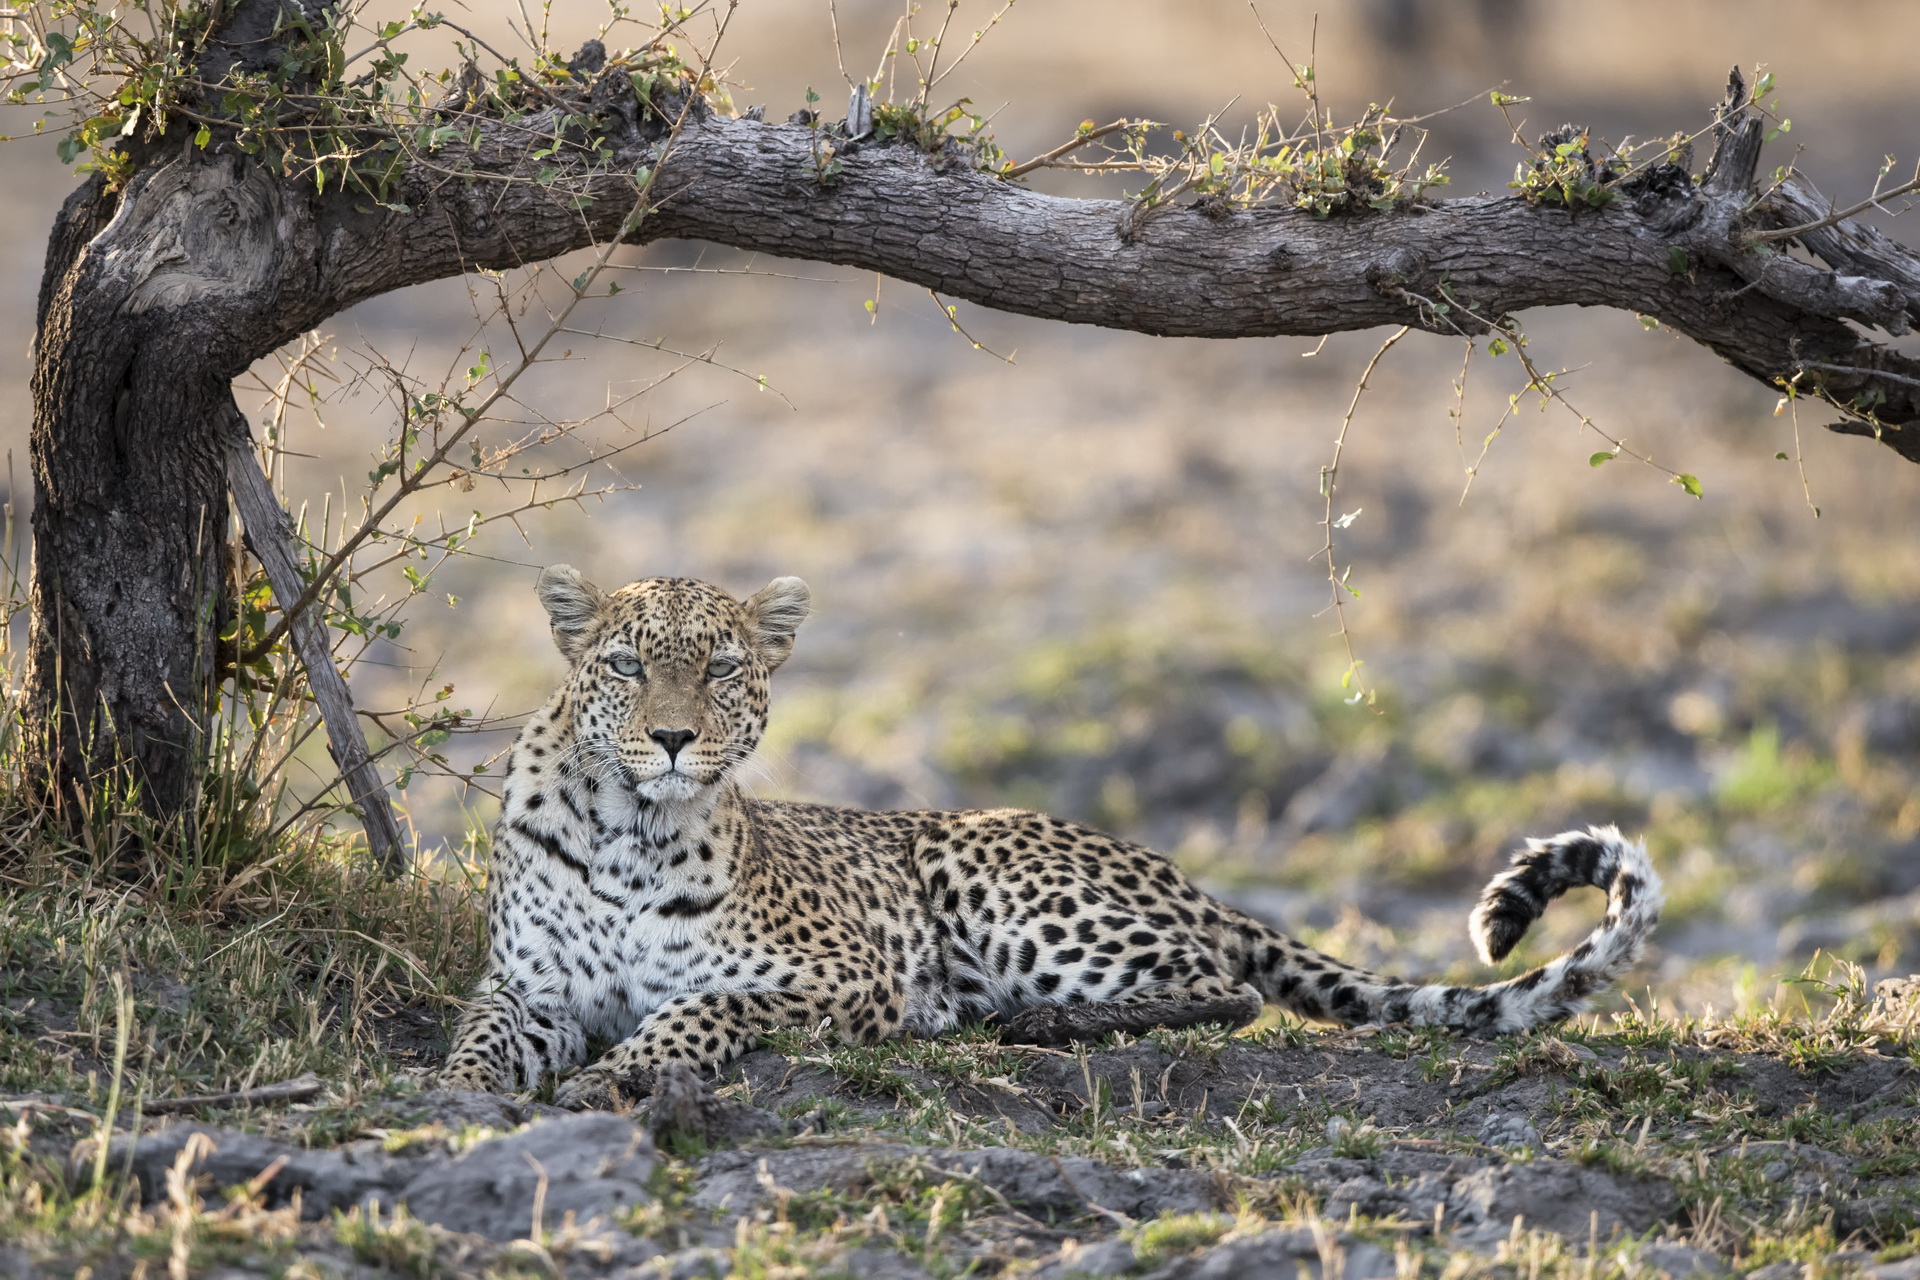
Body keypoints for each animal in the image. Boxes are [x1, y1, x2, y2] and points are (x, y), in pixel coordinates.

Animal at [440, 568, 1664, 1109]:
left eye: (724, 666)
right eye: (626, 663)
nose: (672, 737)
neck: (626, 833)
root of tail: (1184, 876)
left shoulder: (837, 973)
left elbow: (699, 1011)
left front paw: (619, 1078)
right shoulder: (528, 985)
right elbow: (480, 1035)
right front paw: (461, 1096)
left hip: (992, 876)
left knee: (1226, 987)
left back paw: (1019, 1020)